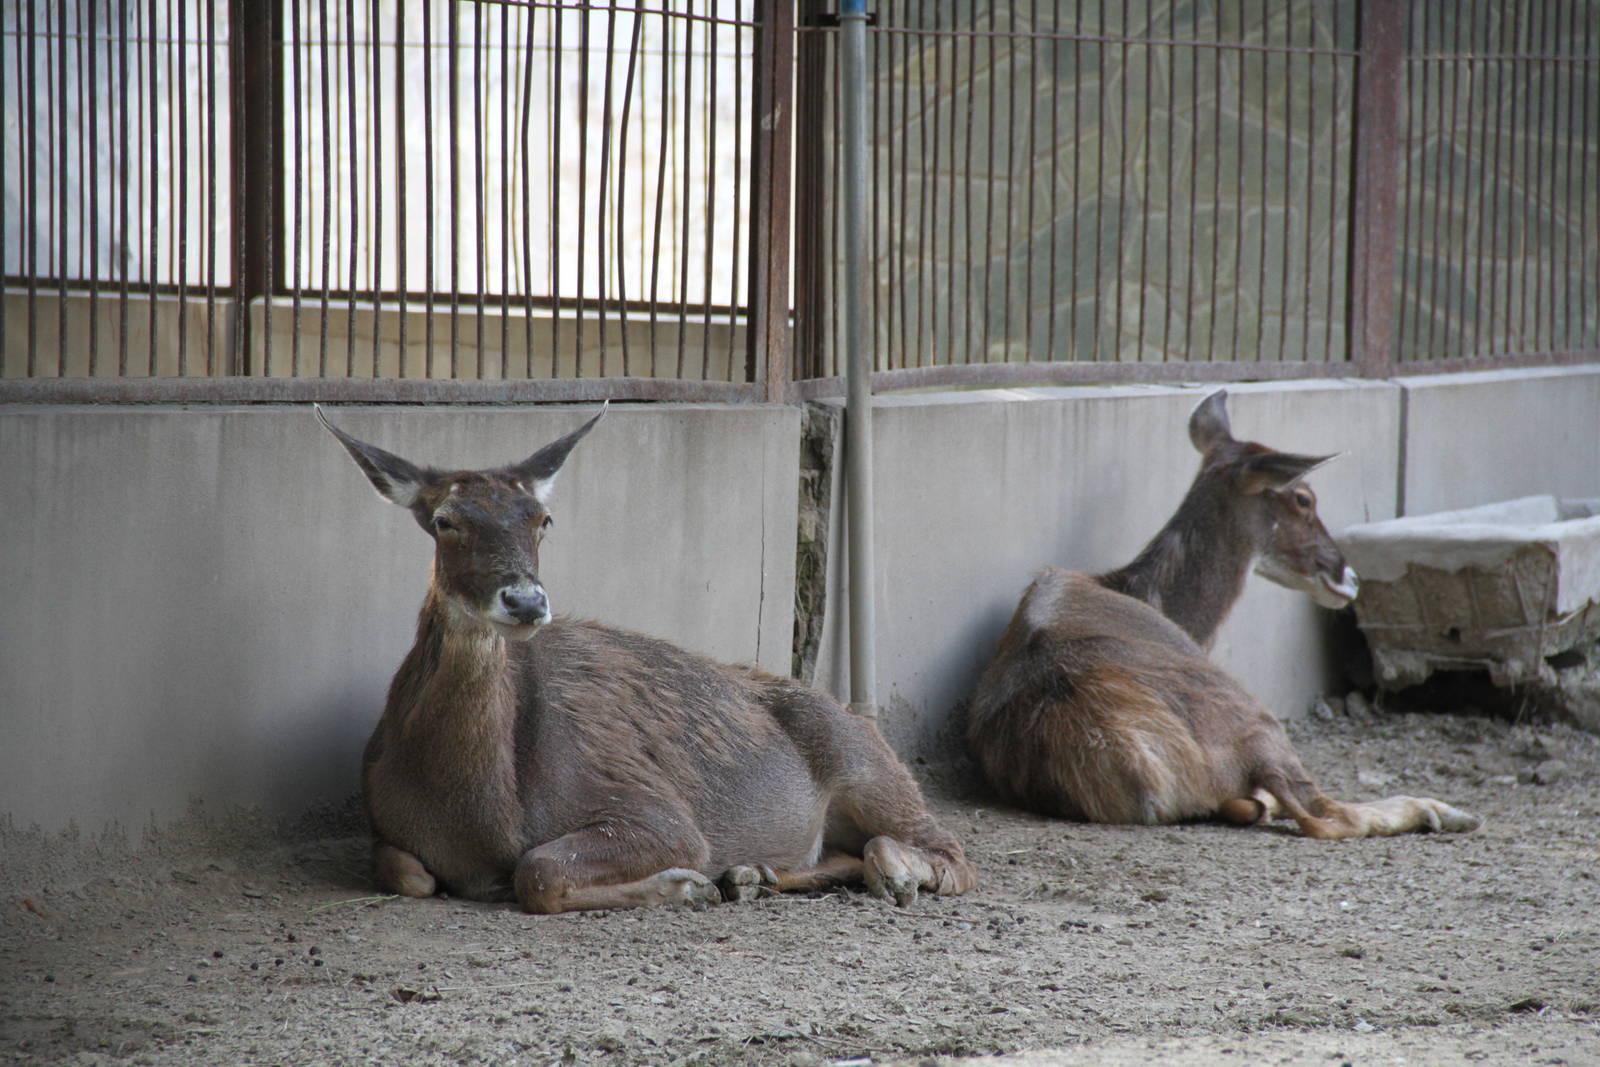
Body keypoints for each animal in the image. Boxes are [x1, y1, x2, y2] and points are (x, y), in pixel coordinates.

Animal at [317, 404, 975, 913]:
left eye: (543, 518)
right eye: (445, 520)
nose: (526, 601)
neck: (475, 815)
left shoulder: (652, 811)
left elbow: (538, 871)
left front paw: (684, 884)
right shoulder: (382, 822)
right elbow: (412, 875)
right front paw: (704, 883)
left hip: (868, 765)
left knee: (950, 852)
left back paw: (893, 872)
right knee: (841, 851)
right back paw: (751, 876)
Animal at [967, 390, 1480, 839]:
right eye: (1303, 497)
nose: (1347, 576)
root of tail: (1129, 758)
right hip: (1256, 720)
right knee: (1324, 816)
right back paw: (1445, 811)